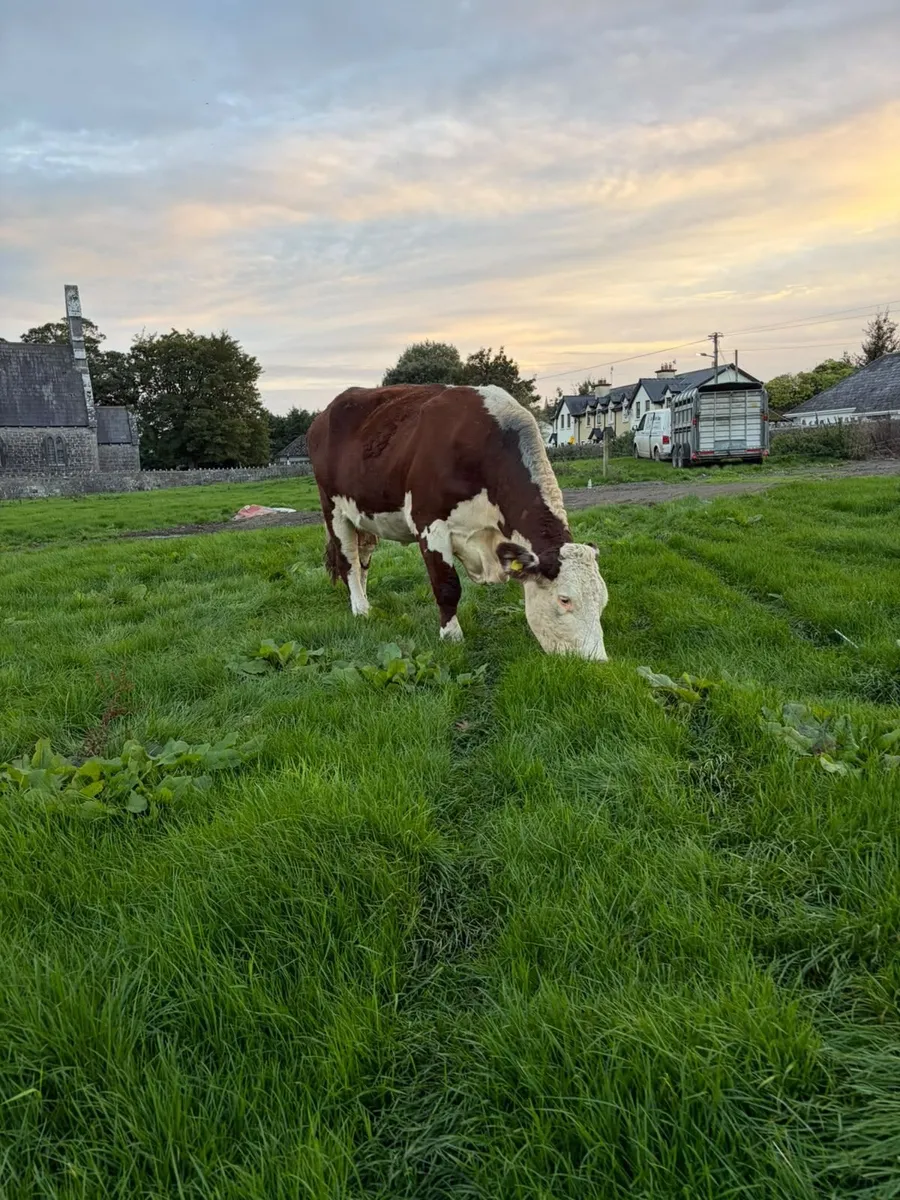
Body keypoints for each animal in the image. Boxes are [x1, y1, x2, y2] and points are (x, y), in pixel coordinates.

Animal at [307, 384, 609, 660]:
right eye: (564, 599)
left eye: (603, 600)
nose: (598, 662)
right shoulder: (429, 524)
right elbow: (447, 586)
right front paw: (451, 636)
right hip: (333, 509)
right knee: (348, 561)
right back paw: (361, 609)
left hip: (363, 516)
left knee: (363, 560)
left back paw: (364, 599)